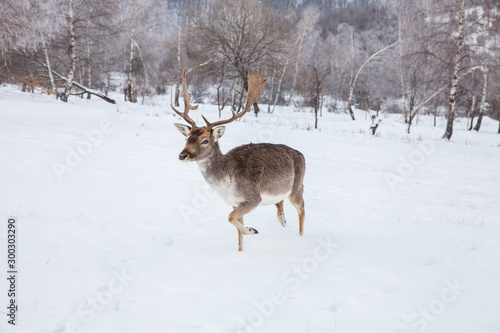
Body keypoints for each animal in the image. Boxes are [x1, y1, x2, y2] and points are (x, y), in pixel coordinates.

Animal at [172, 66, 304, 250]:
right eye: (187, 138)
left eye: (205, 140)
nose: (182, 155)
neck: (226, 184)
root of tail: (301, 154)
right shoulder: (235, 202)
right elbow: (238, 233)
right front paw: (241, 249)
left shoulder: (253, 198)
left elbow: (230, 217)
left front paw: (252, 230)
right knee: (281, 203)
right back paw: (282, 220)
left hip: (297, 187)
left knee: (302, 208)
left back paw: (300, 237)